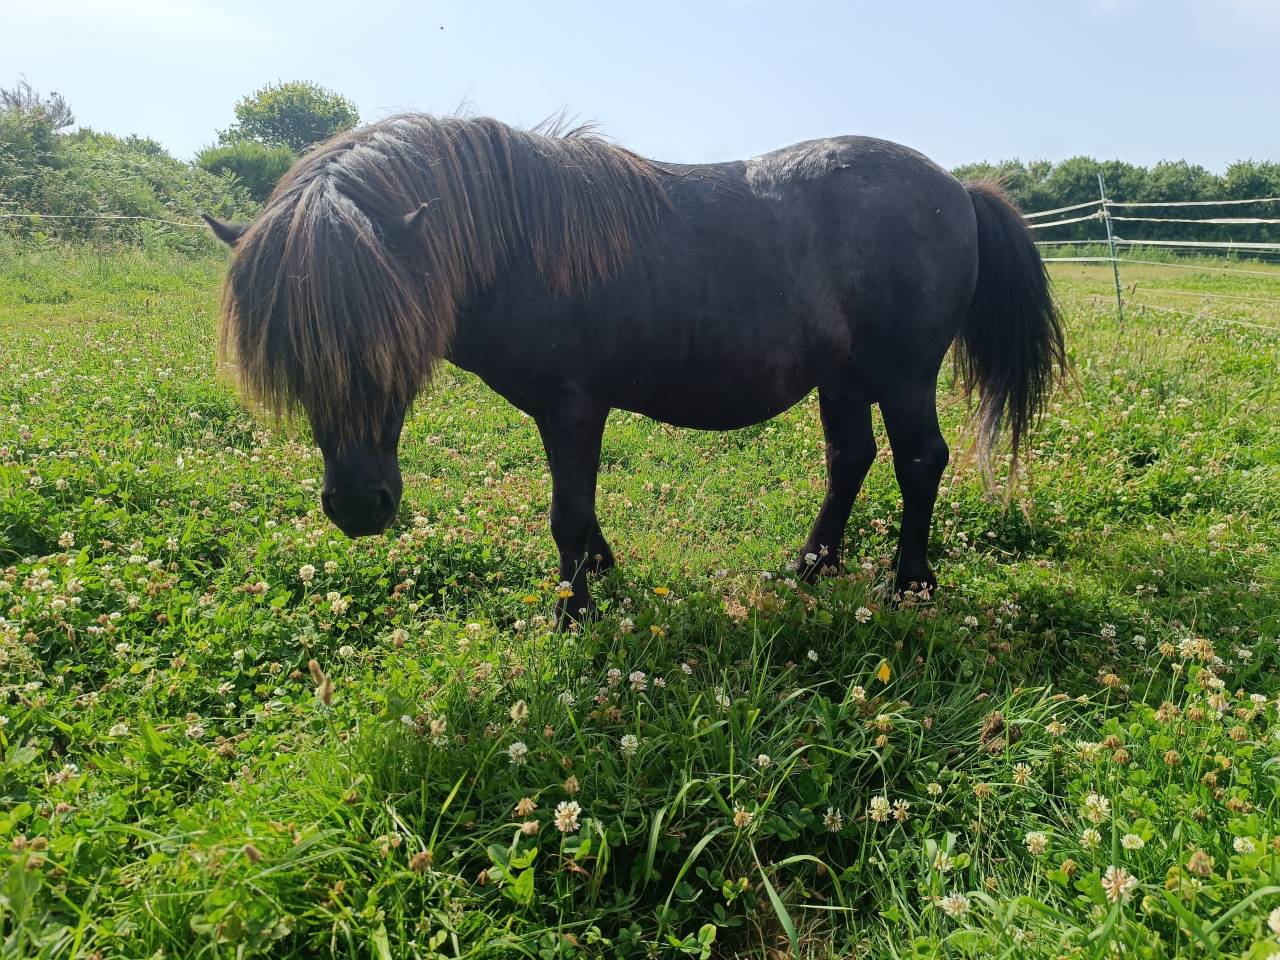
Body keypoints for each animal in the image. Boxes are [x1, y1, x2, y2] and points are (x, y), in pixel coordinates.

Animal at [204, 113, 1065, 623]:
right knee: (849, 459)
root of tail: (957, 187)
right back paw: (808, 568)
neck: (523, 243)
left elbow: (566, 511)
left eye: (387, 342)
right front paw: (599, 571)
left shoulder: (573, 407)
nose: (358, 508)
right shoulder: (566, 415)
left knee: (921, 460)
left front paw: (573, 612)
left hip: (902, 374)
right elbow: (580, 510)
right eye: (290, 357)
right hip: (844, 378)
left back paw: (910, 583)